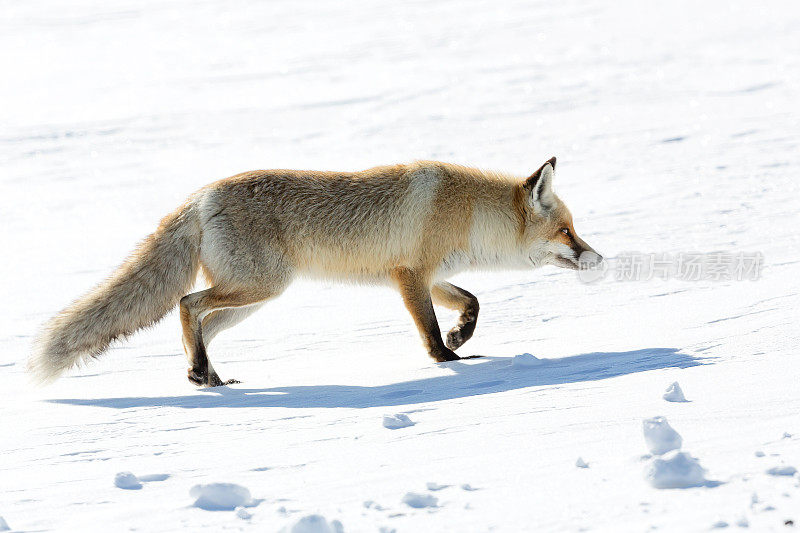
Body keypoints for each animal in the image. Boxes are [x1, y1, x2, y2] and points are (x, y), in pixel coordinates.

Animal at [29, 156, 600, 384]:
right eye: (567, 233)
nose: (596, 258)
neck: (466, 213)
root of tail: (199, 196)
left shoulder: (424, 274)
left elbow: (473, 302)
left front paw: (462, 336)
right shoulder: (410, 275)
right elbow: (430, 331)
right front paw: (449, 359)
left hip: (253, 299)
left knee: (201, 325)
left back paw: (210, 377)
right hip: (258, 286)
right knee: (186, 305)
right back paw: (198, 374)